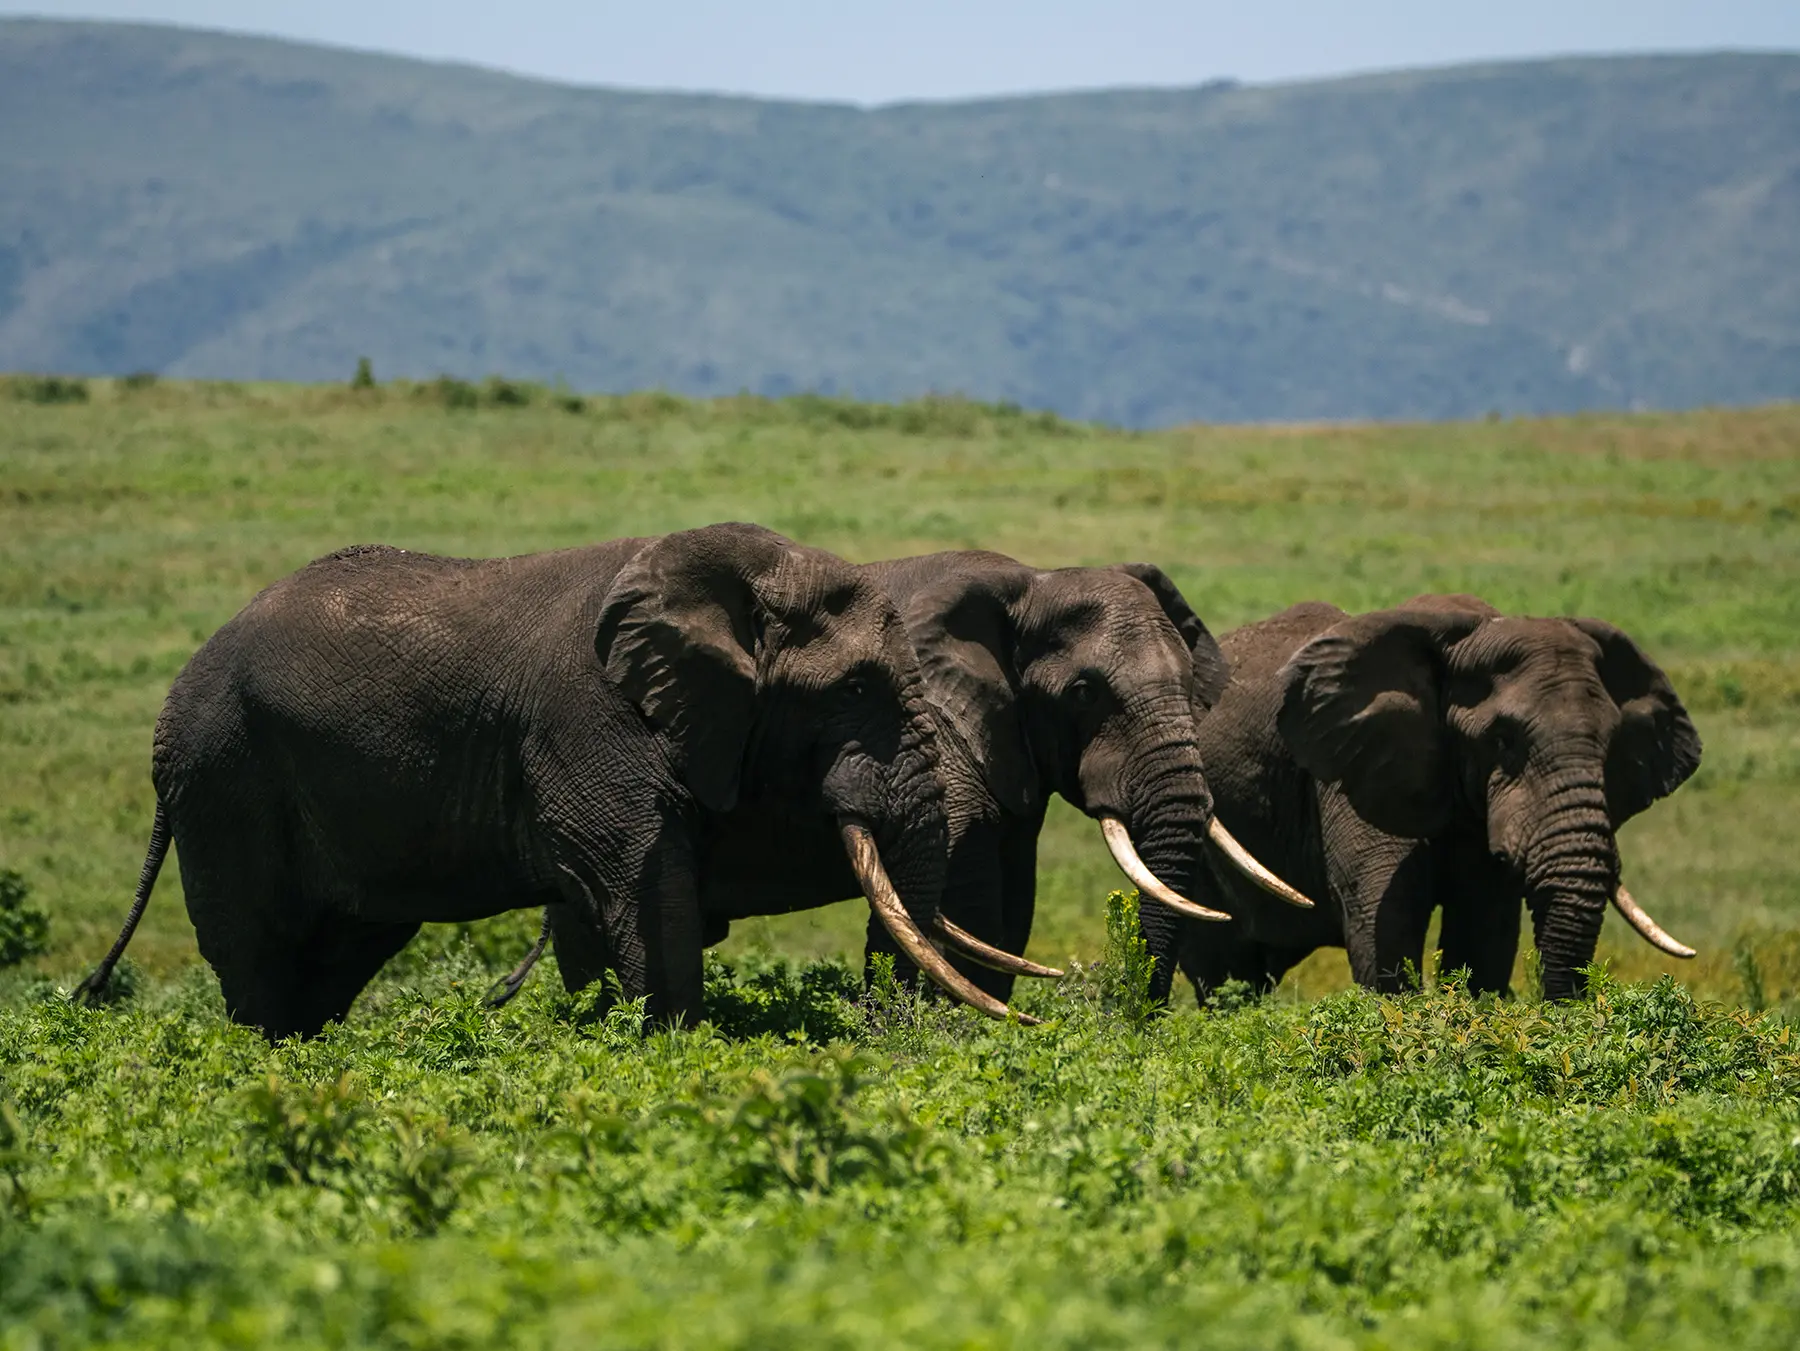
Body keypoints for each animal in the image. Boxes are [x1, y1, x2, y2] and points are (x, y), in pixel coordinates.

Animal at [75, 522, 1021, 1039]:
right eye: (855, 687)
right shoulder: (589, 721)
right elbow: (646, 891)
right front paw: (675, 1051)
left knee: (337, 952)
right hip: (224, 774)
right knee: (261, 950)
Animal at [492, 550, 1311, 1009]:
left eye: (1191, 683)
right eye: (1083, 693)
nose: (1131, 1023)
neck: (1030, 581)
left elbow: (1008, 915)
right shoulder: (939, 738)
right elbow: (967, 908)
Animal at [1161, 594, 1701, 1005]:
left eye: (1612, 745)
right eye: (1503, 740)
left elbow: (1484, 932)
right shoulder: (1356, 771)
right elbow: (1385, 919)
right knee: (1222, 967)